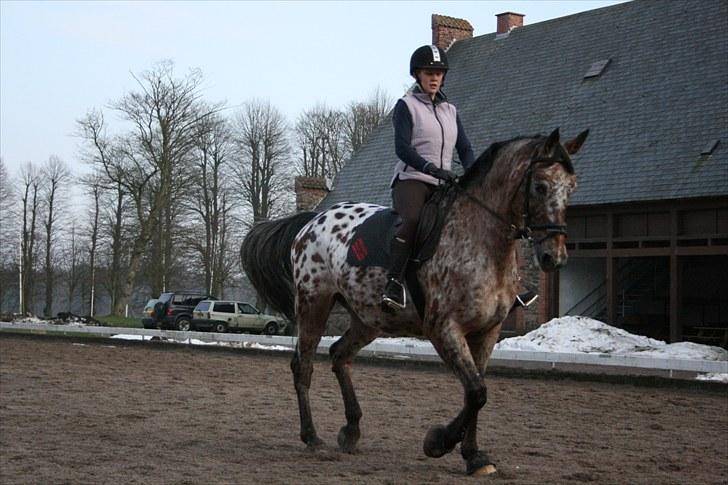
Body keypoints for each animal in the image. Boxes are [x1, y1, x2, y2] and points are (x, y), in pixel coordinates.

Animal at [242, 126, 588, 474]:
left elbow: (477, 391)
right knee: (303, 365)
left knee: (340, 355)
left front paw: (474, 456)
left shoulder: (488, 331)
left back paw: (351, 430)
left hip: (370, 317)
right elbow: (476, 392)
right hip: (314, 302)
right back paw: (313, 438)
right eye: (541, 186)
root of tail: (313, 220)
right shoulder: (444, 329)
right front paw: (438, 442)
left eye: (572, 187)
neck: (481, 242)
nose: (554, 258)